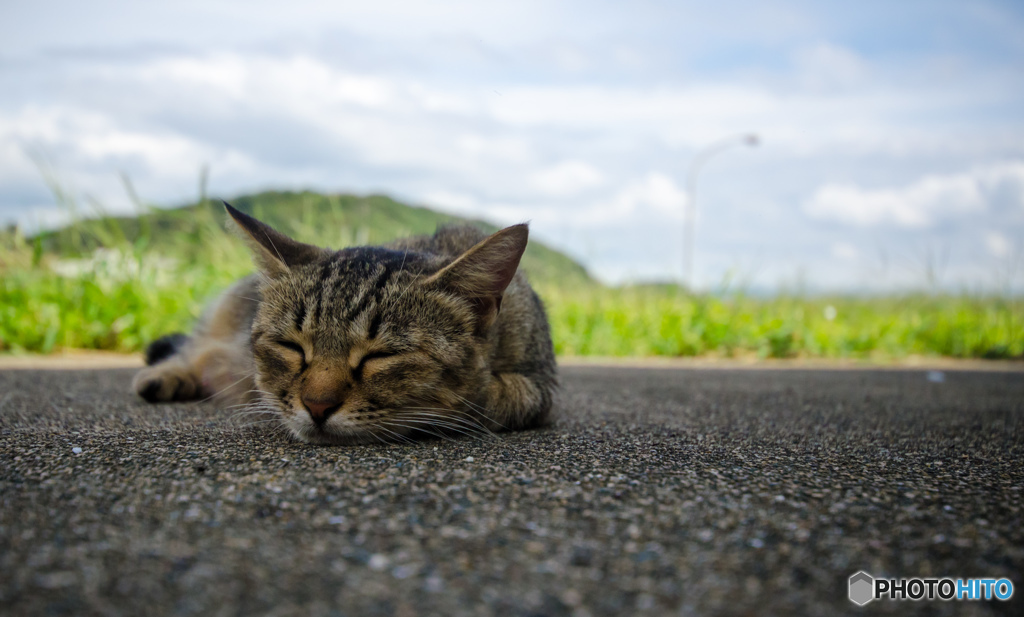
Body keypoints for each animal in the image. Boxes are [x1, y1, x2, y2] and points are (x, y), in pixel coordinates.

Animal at [134, 202, 561, 444]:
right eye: (291, 346)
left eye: (381, 356)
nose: (317, 406)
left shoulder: (538, 385)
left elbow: (498, 396)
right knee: (194, 348)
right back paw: (166, 376)